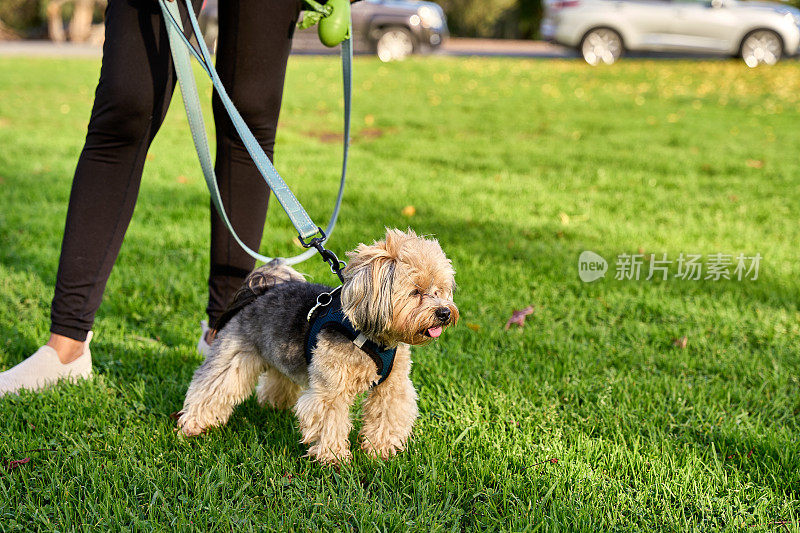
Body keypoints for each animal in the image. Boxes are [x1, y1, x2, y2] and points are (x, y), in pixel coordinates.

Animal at [178, 227, 460, 464]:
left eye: (439, 290)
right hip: (232, 356)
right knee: (210, 386)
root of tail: (260, 288)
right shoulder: (330, 390)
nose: (445, 312)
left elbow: (387, 415)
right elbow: (330, 420)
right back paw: (193, 426)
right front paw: (334, 459)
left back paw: (274, 405)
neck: (370, 336)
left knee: (278, 379)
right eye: (416, 292)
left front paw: (381, 451)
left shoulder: (392, 387)